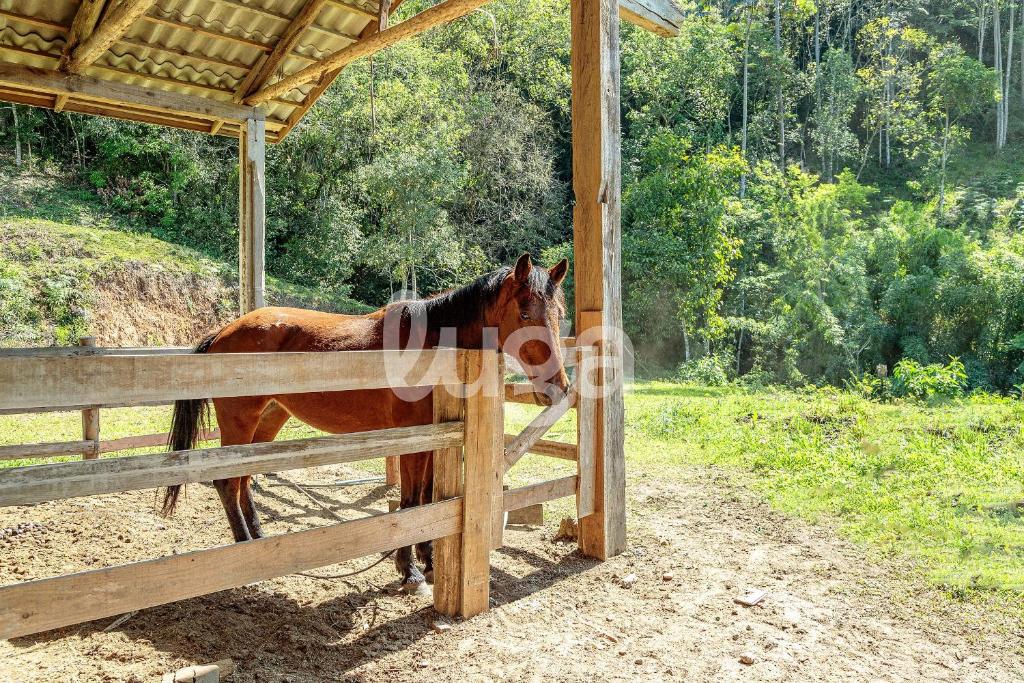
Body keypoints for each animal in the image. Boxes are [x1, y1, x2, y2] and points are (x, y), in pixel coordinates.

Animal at [162, 253, 569, 589]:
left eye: (559, 315)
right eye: (525, 315)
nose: (558, 387)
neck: (432, 345)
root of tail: (224, 331)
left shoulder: (433, 439)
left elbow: (426, 499)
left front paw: (429, 560)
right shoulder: (410, 439)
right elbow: (411, 502)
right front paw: (409, 569)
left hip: (269, 419)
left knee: (244, 479)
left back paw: (257, 542)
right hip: (240, 420)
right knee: (227, 482)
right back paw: (244, 552)